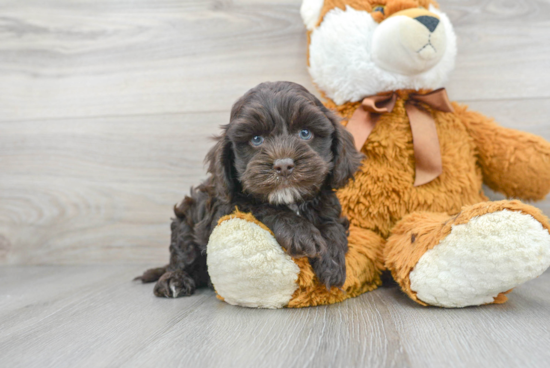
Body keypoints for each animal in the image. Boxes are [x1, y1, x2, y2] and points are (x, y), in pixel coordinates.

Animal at [136, 82, 364, 298]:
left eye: (305, 133)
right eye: (256, 139)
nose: (283, 165)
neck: (289, 199)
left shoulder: (328, 204)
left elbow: (332, 225)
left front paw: (332, 262)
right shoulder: (223, 207)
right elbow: (259, 207)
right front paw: (300, 232)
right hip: (187, 219)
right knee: (182, 256)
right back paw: (174, 279)